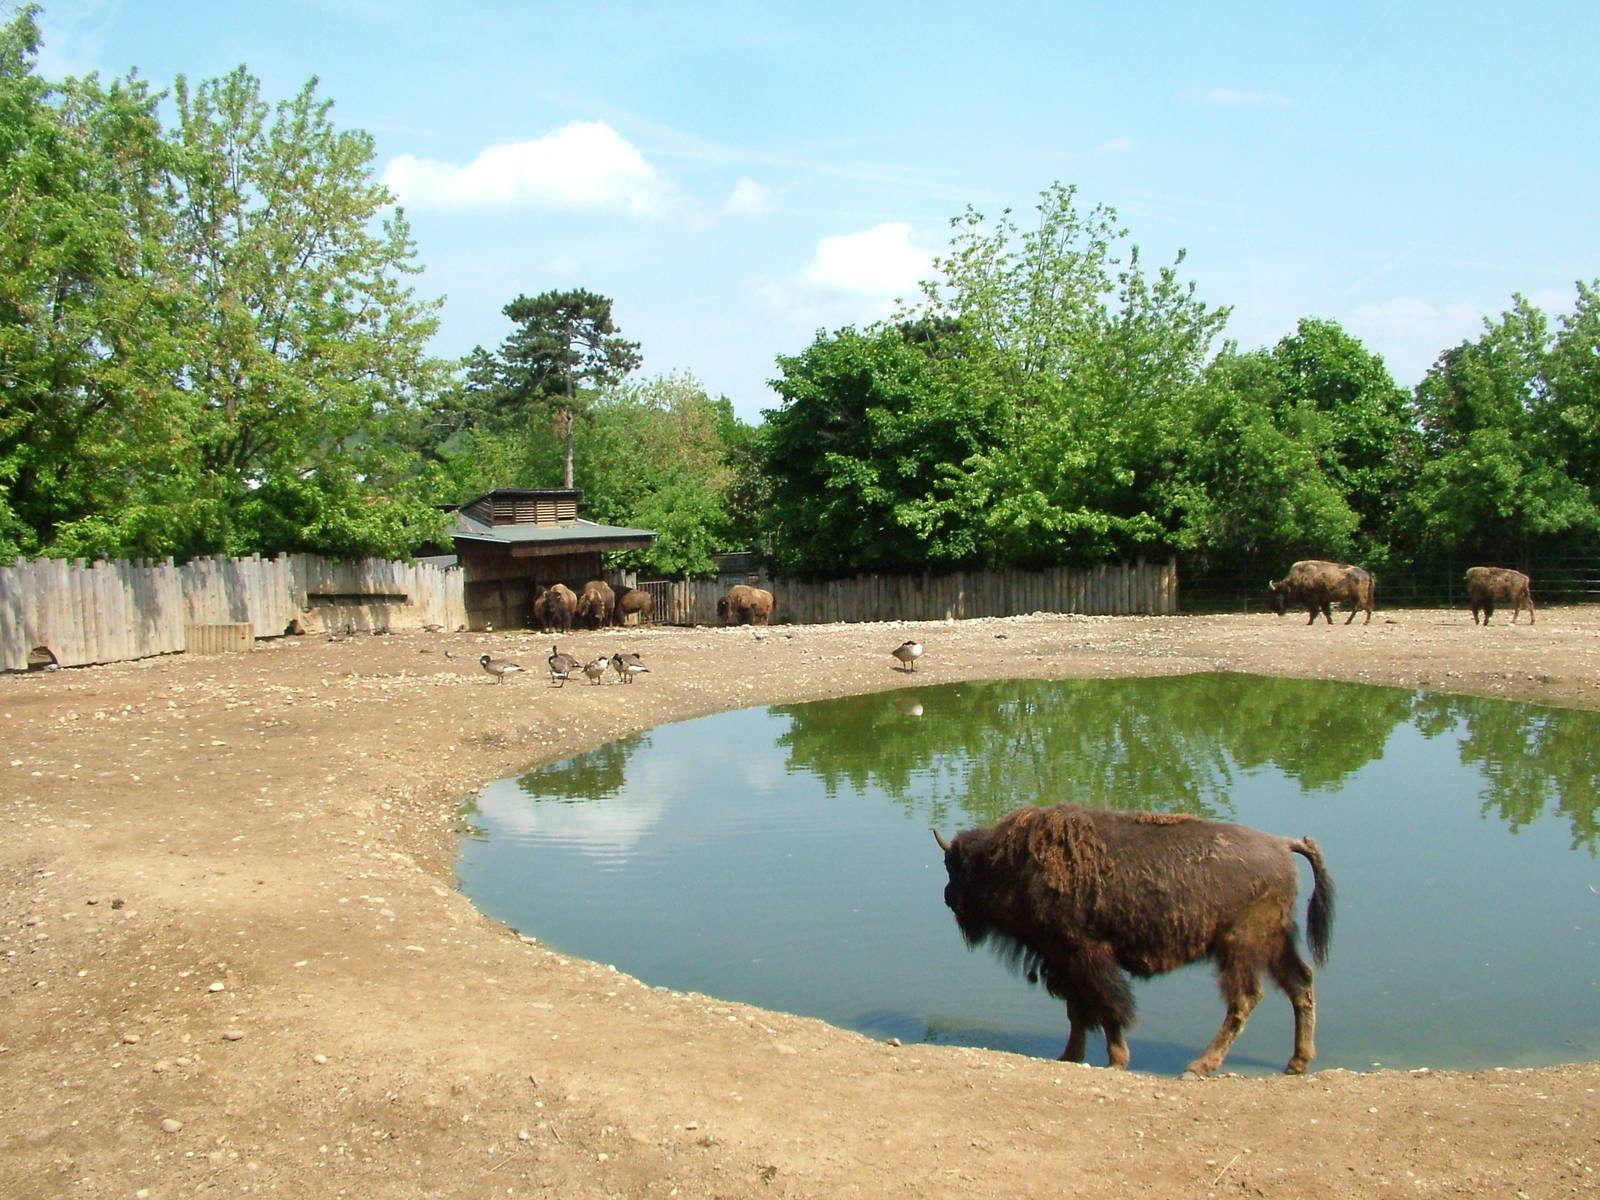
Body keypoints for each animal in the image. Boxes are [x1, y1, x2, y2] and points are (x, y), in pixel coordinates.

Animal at [934, 804, 1334, 1078]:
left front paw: (1116, 1060)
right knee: (1301, 983)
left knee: (1246, 999)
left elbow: (1109, 1008)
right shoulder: (1064, 961)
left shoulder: (1087, 956)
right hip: (1274, 943)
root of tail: (1283, 845)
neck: (1011, 862)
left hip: (1240, 947)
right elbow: (1078, 1011)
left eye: (954, 866)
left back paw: (1199, 1066)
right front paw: (1070, 1055)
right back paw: (1296, 1062)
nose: (948, 896)